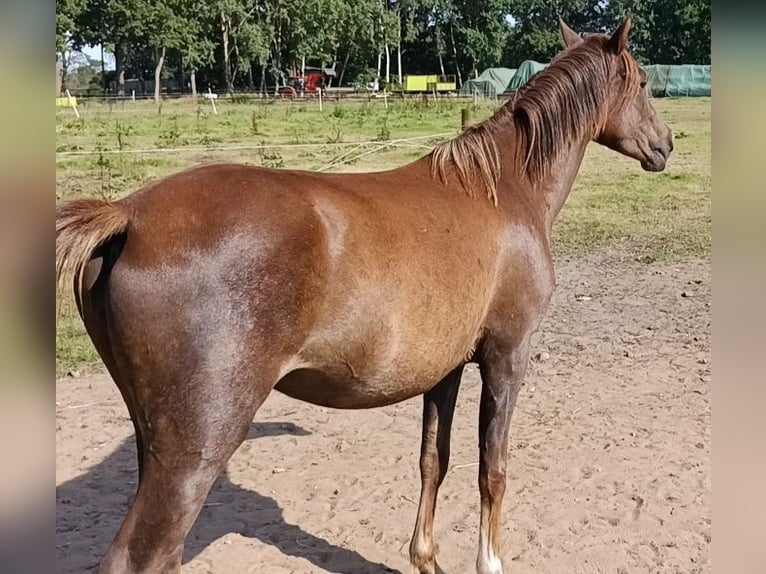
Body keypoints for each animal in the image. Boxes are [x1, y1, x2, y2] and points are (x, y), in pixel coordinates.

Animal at [57, 18, 672, 574]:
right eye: (644, 81)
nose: (665, 145)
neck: (503, 189)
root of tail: (128, 215)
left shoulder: (444, 369)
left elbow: (433, 459)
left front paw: (426, 558)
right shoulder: (507, 356)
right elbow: (491, 469)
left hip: (154, 441)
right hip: (197, 447)